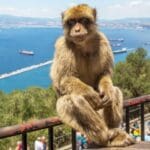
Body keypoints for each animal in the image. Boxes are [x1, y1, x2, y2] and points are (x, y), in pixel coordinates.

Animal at [50, 3, 135, 148]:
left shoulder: (103, 40)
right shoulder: (62, 46)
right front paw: (90, 94)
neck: (83, 44)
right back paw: (105, 137)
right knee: (71, 100)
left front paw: (106, 90)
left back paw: (114, 130)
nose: (77, 29)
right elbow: (63, 79)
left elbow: (104, 73)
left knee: (115, 91)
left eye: (84, 20)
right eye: (71, 22)